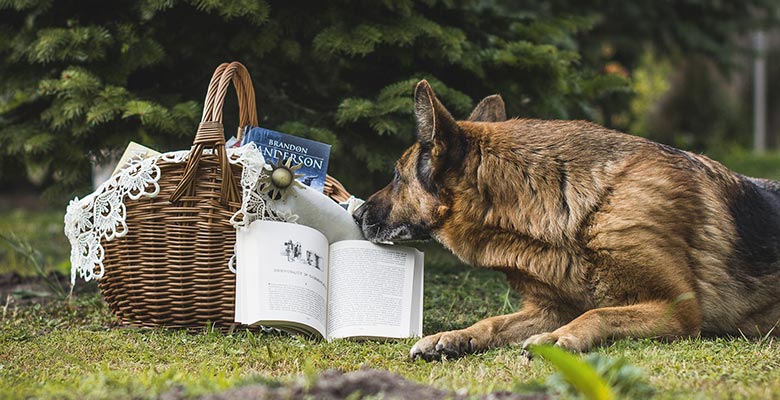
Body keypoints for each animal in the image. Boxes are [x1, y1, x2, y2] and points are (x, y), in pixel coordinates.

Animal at [352, 79, 780, 360]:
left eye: (396, 176)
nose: (355, 213)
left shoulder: (678, 309)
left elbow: (599, 311)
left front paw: (559, 340)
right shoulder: (549, 310)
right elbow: (493, 321)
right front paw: (455, 336)